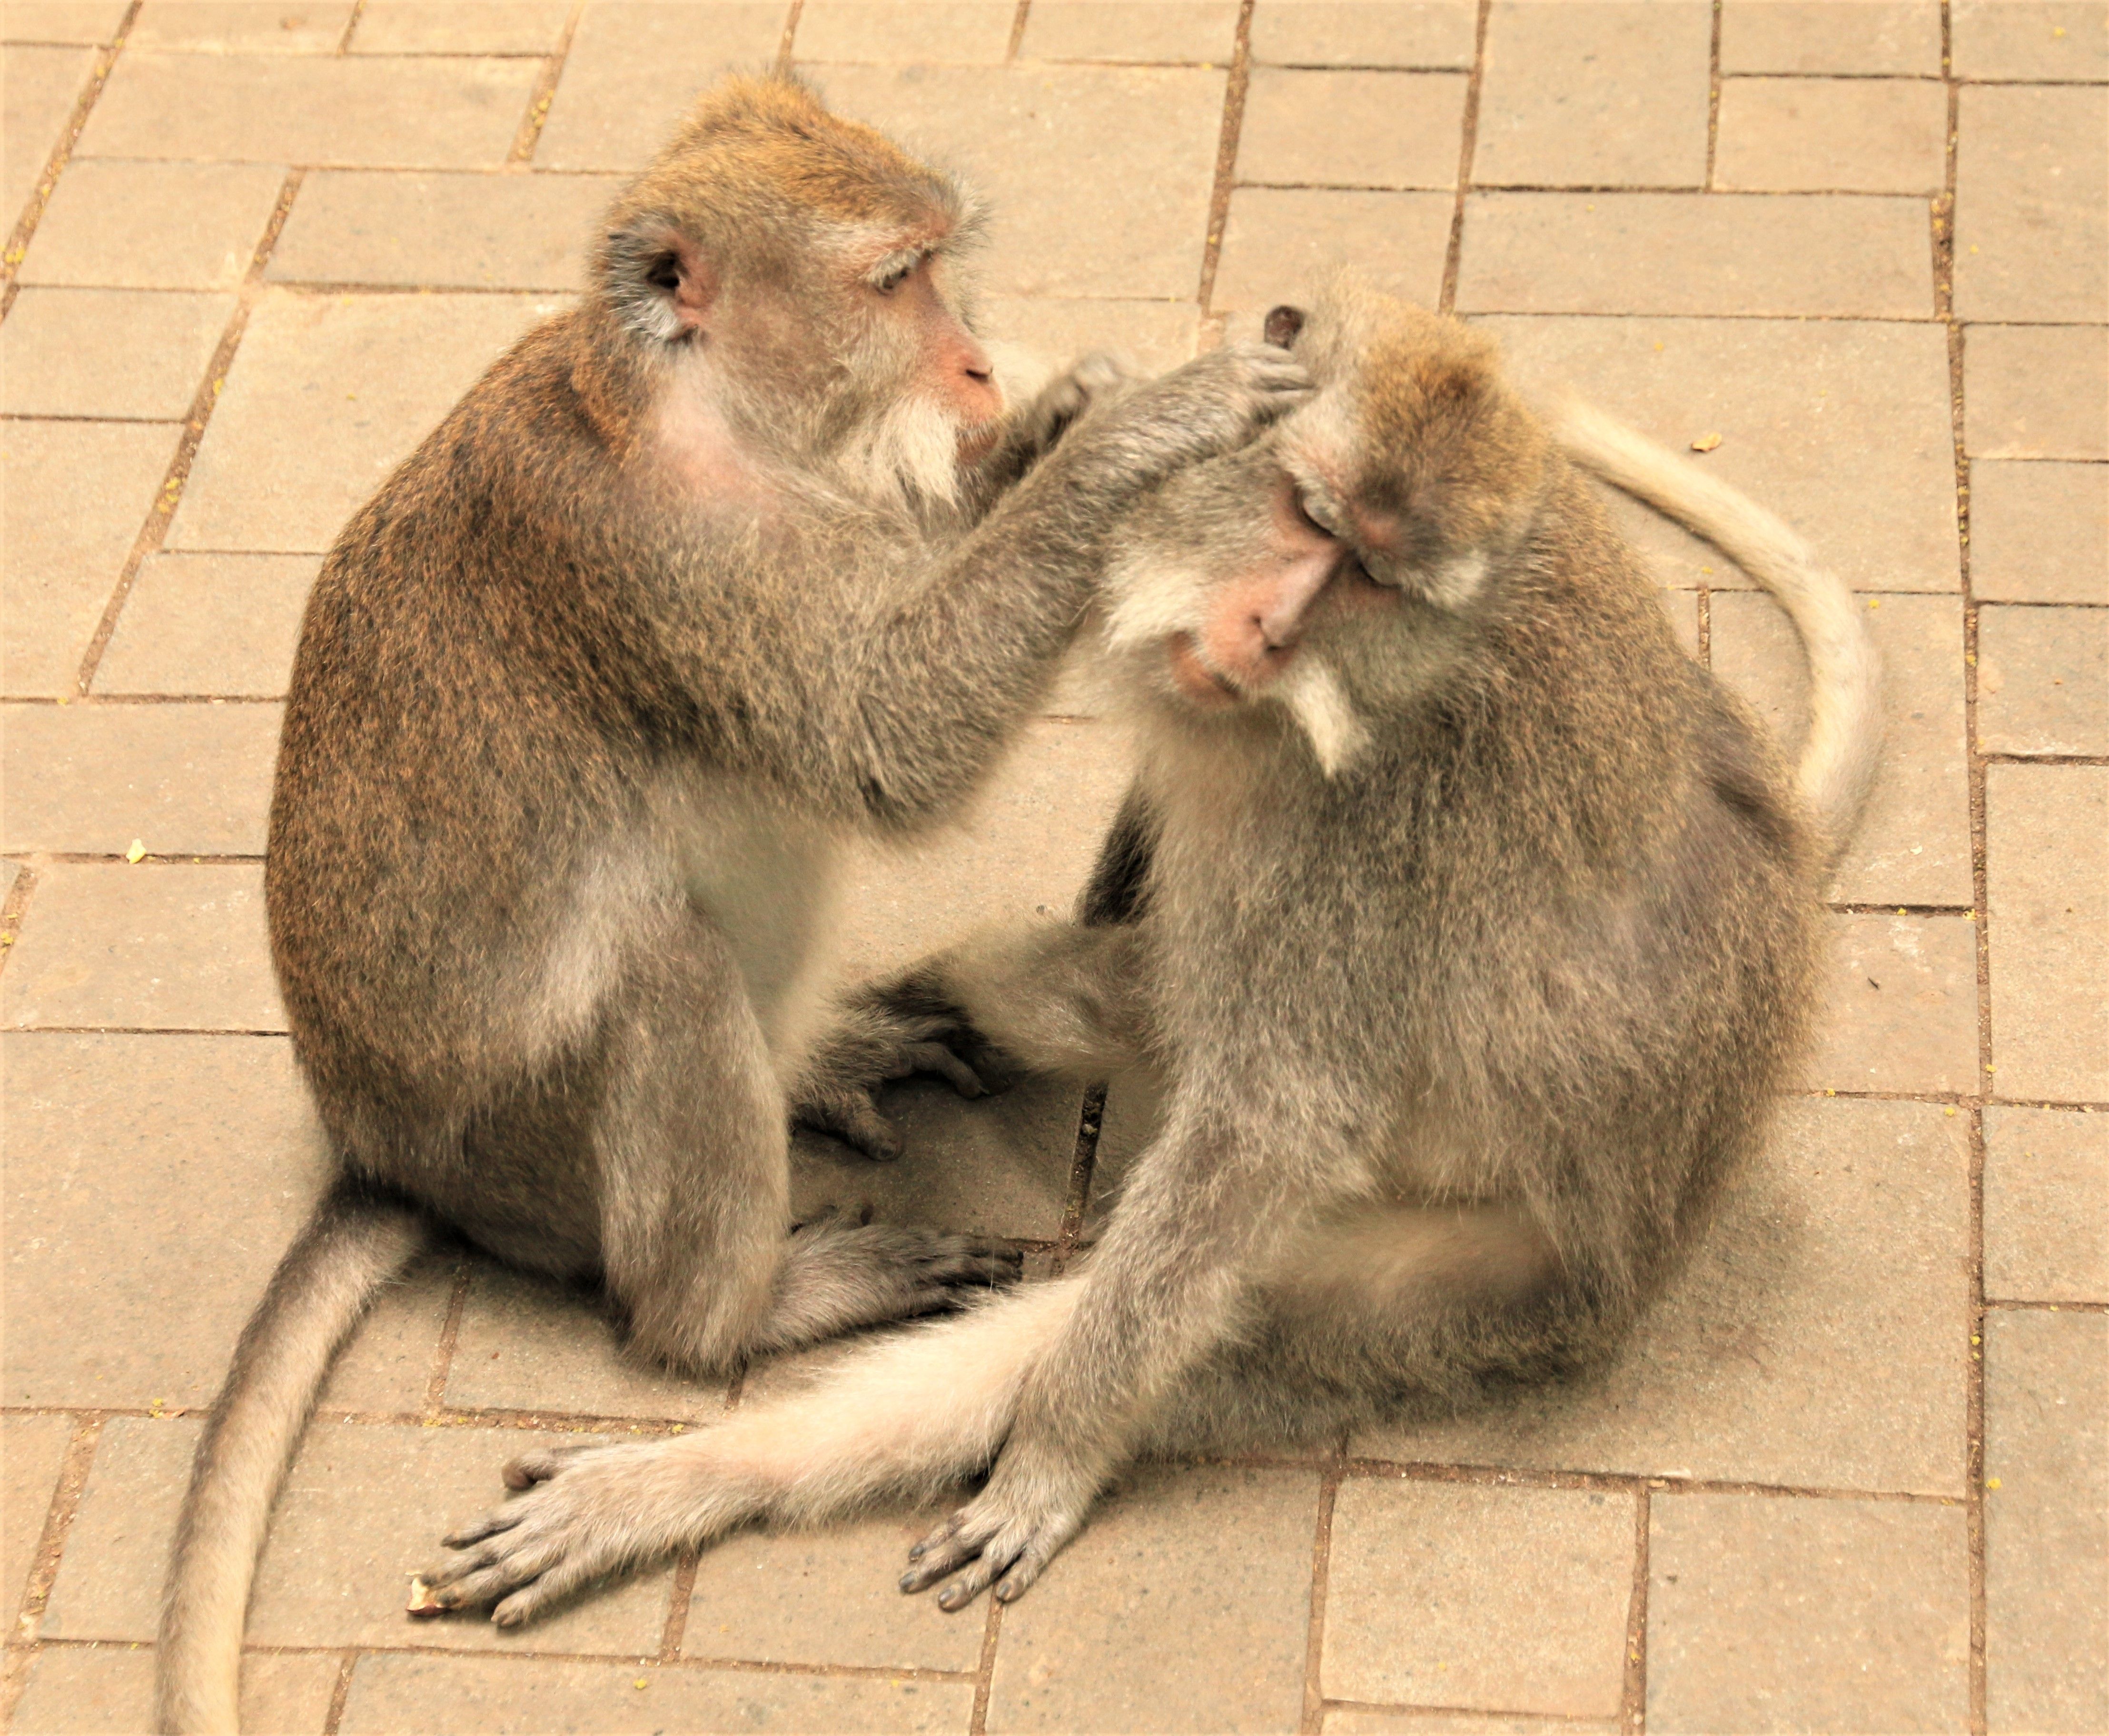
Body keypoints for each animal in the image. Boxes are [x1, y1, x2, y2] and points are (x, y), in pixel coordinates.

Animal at [154, 75, 1310, 1734]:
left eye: (942, 270)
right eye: (895, 281)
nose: (972, 360)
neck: (708, 415)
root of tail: (382, 1149)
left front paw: (1051, 419)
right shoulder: (675, 558)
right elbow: (890, 736)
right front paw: (1135, 431)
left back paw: (812, 1064)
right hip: (524, 1148)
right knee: (664, 968)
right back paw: (742, 1307)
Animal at [416, 275, 1880, 1626]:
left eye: (1373, 580)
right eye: (1311, 517)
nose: (1268, 631)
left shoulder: (1373, 840)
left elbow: (1267, 1123)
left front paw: (1055, 1452)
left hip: (1486, 1273)